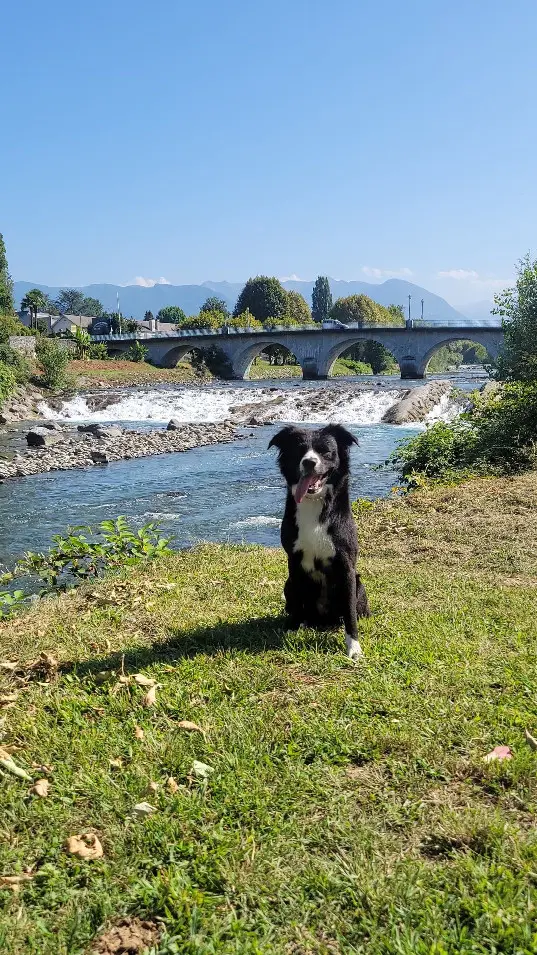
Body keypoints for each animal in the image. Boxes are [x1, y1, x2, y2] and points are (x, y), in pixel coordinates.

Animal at [268, 424, 368, 656]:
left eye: (325, 451)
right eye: (299, 450)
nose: (309, 462)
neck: (314, 503)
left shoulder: (345, 564)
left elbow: (349, 612)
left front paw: (353, 648)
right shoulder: (294, 561)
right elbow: (298, 601)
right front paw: (292, 630)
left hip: (359, 584)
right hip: (287, 584)